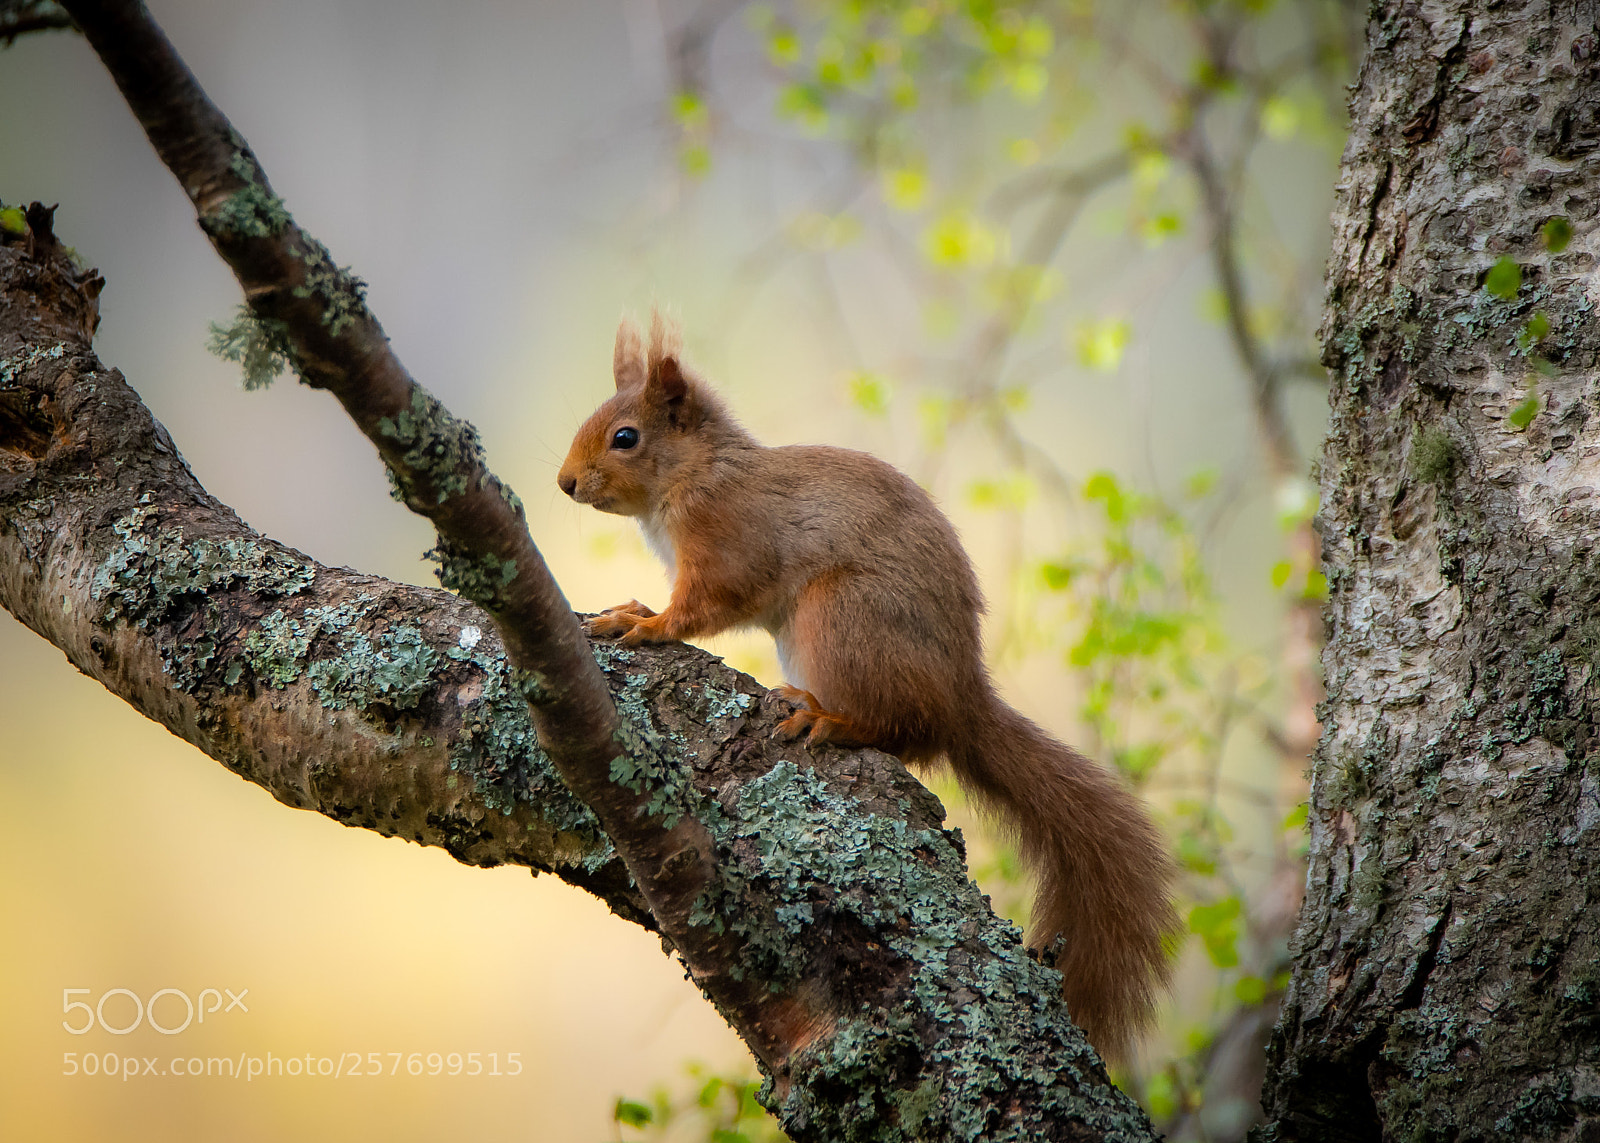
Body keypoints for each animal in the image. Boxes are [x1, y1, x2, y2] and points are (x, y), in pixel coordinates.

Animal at [557, 314, 1176, 1063]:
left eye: (626, 437)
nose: (564, 482)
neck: (698, 472)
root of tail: (963, 703)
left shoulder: (727, 539)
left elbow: (707, 604)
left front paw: (645, 623)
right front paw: (633, 609)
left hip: (839, 617)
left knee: (899, 729)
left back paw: (830, 719)